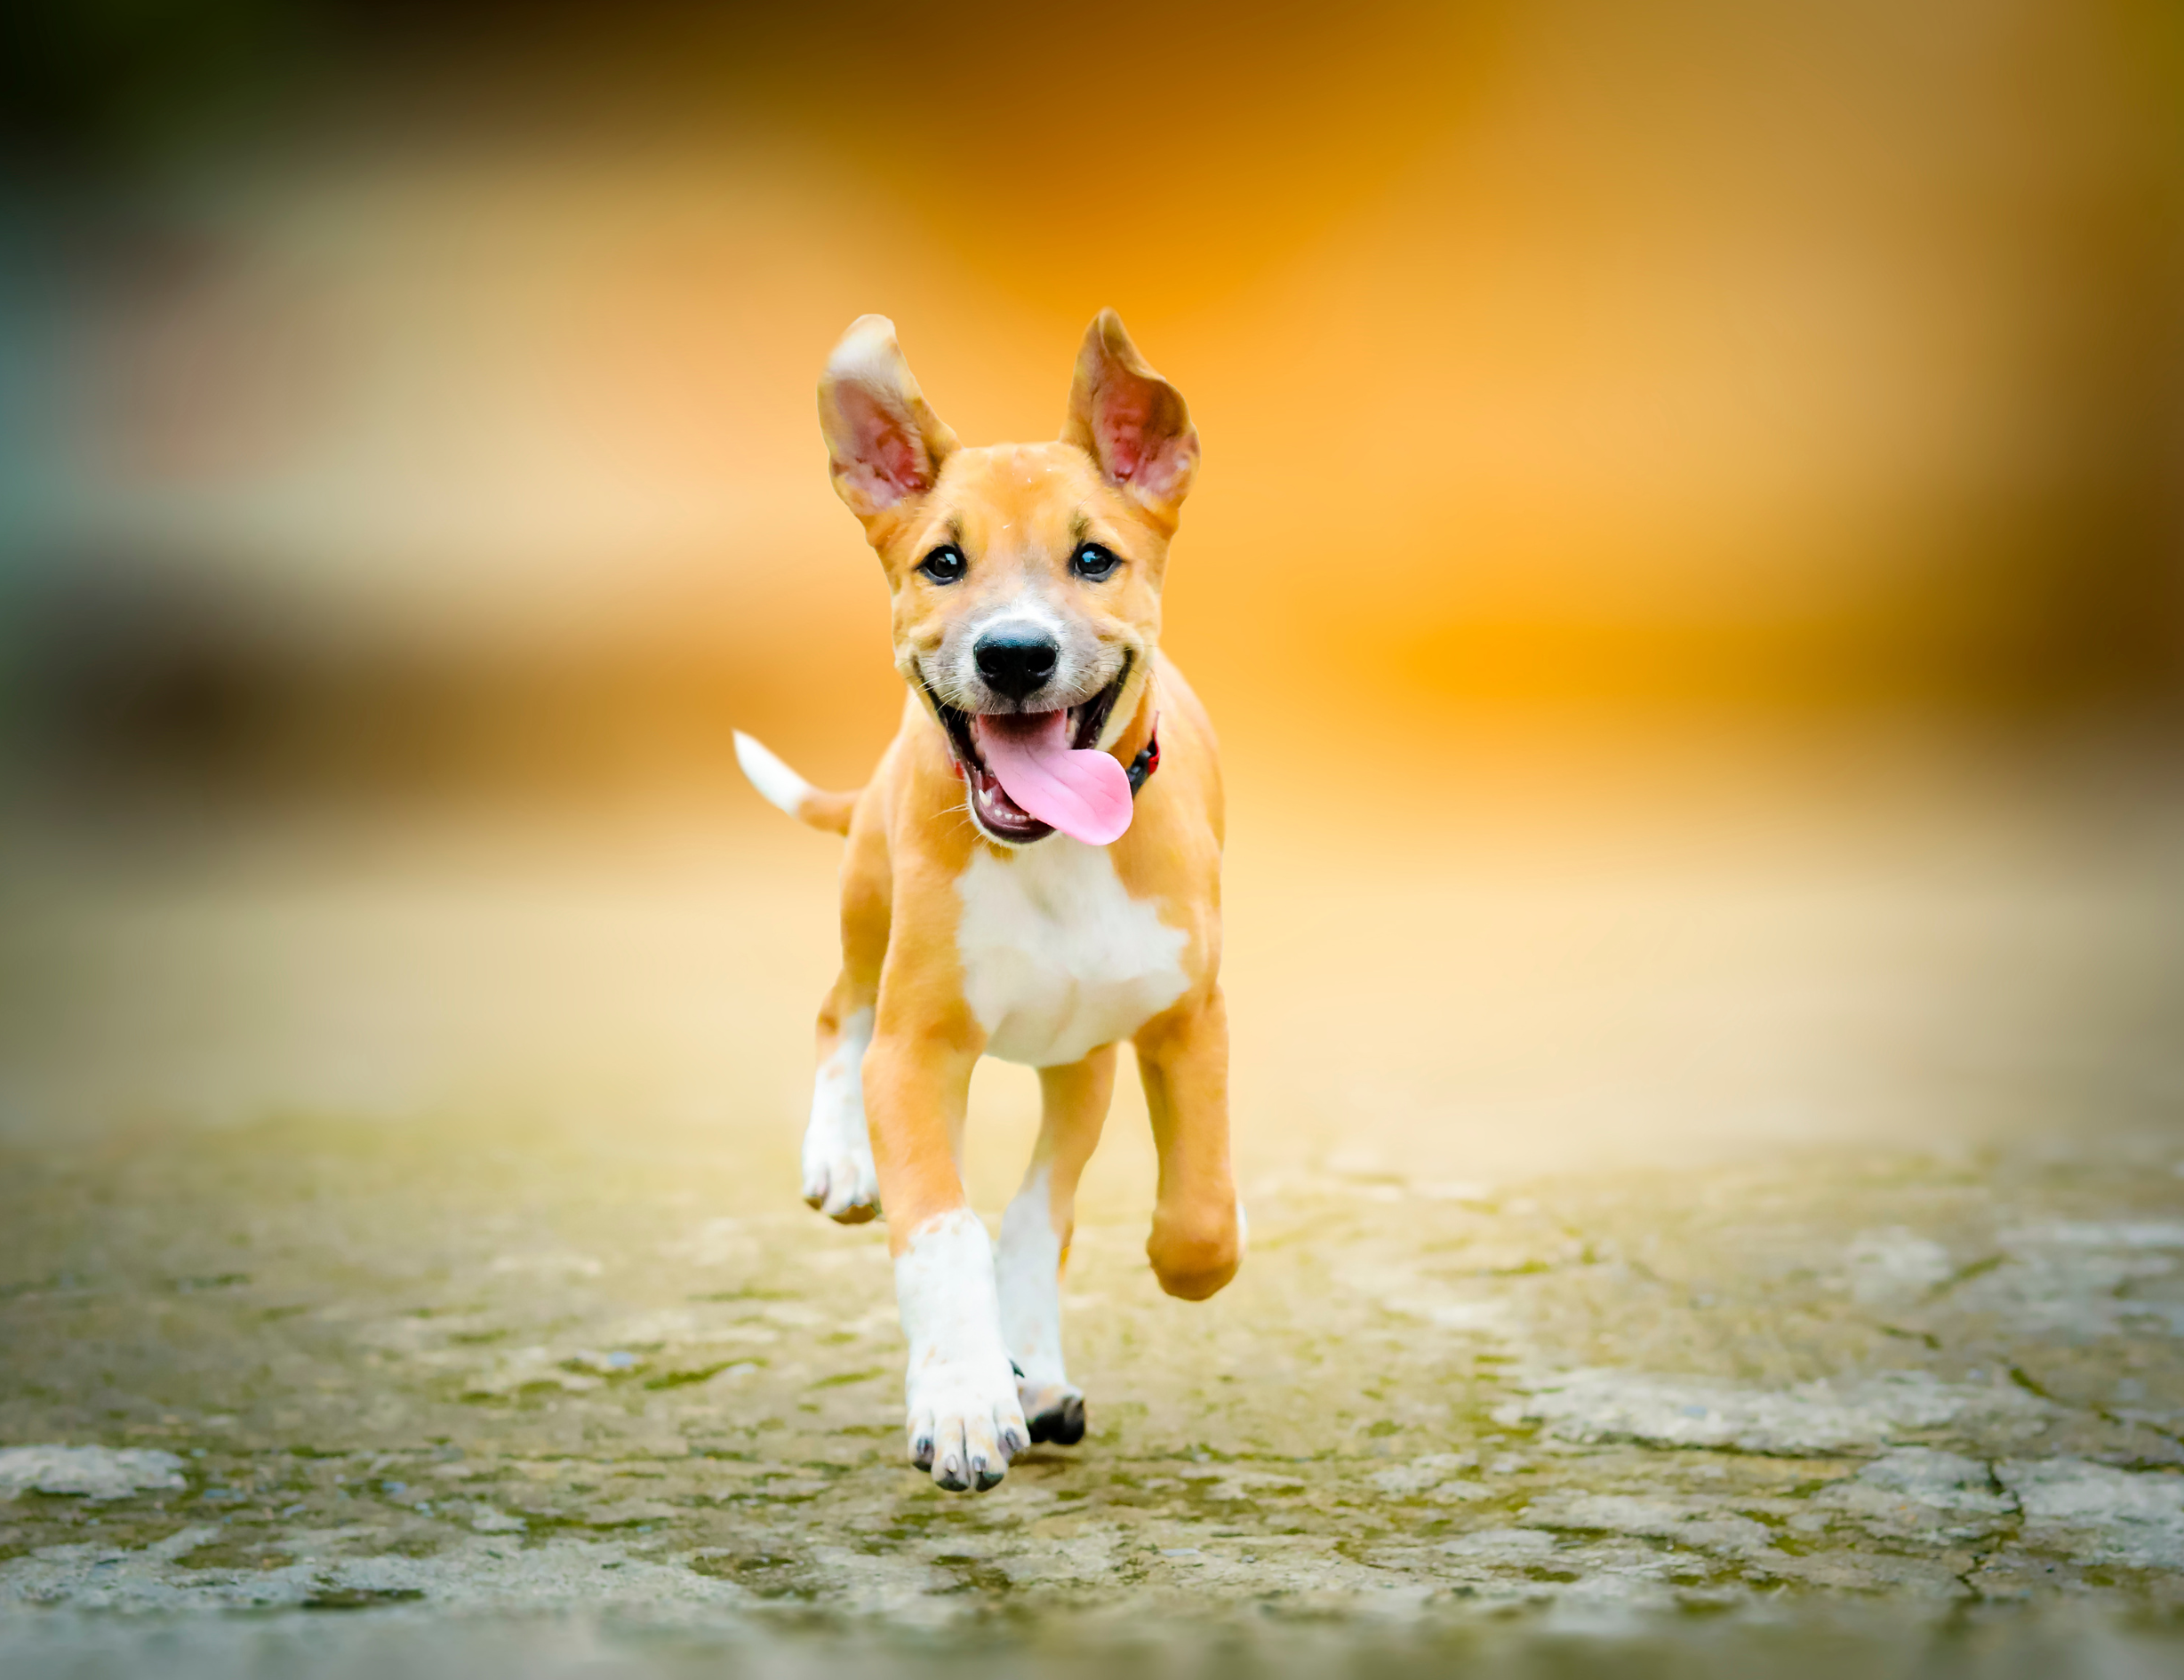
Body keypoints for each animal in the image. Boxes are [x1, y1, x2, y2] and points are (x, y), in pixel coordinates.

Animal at [733, 311, 1241, 1494]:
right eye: (943, 563)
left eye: (1094, 558)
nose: (1014, 655)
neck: (1051, 850)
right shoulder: (919, 1053)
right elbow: (944, 1231)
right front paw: (962, 1400)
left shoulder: (1184, 1021)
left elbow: (1188, 1230)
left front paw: (1018, 1367)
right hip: (870, 899)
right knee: (838, 1010)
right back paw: (841, 1160)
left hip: (1079, 1061)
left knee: (1046, 1199)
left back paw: (1036, 1369)